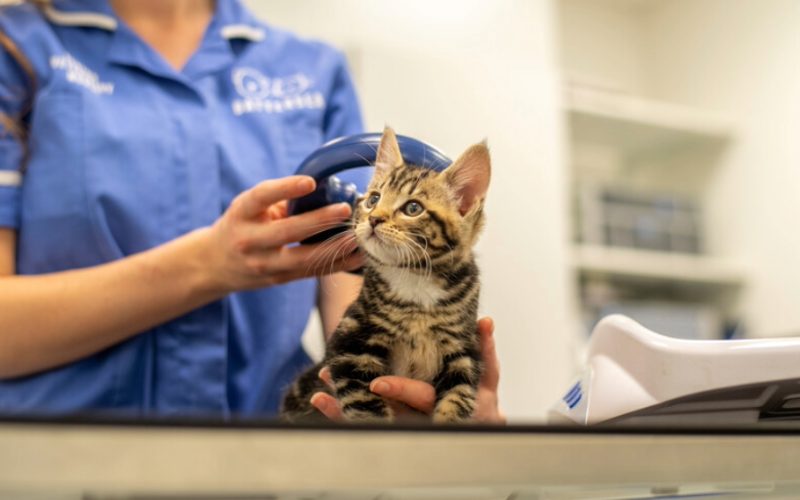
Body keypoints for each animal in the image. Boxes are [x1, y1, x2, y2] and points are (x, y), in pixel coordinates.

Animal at [282, 127, 494, 424]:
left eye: (413, 208)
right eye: (373, 199)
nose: (374, 219)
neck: (414, 280)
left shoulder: (464, 351)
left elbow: (458, 400)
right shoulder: (351, 341)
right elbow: (364, 407)